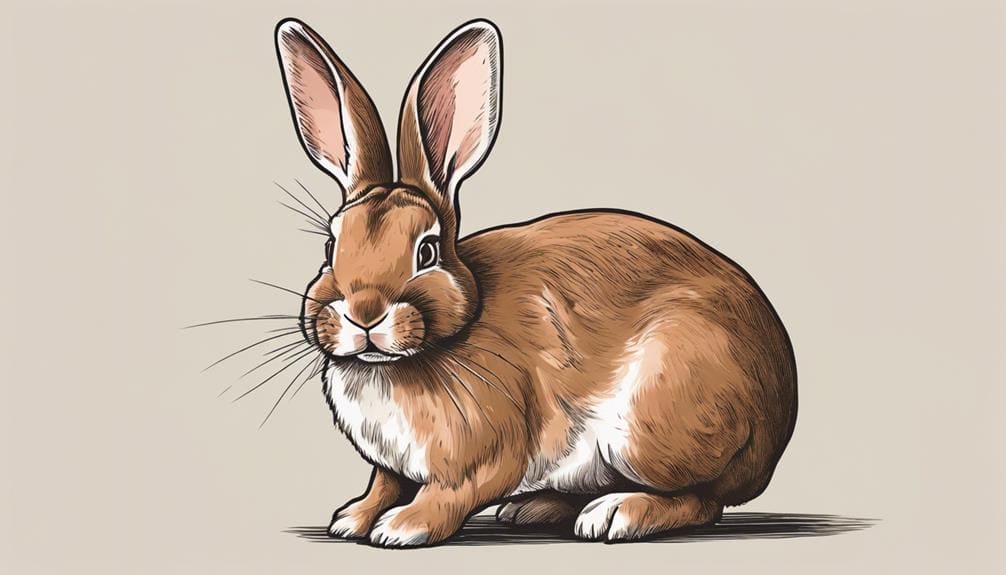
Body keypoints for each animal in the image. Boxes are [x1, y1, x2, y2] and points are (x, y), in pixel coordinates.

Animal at [274, 17, 797, 547]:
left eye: (427, 251)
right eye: (330, 246)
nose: (364, 313)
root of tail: (777, 418)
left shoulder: (486, 451)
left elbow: (453, 492)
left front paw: (403, 527)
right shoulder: (391, 466)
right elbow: (384, 482)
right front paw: (353, 519)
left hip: (656, 420)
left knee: (703, 500)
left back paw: (615, 514)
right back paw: (533, 508)